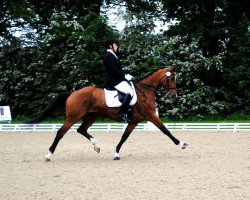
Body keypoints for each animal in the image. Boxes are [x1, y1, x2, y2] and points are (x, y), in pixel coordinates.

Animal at [26, 65, 188, 161]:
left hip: (91, 115)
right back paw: (48, 154)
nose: (174, 96)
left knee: (82, 129)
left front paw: (116, 153)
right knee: (61, 132)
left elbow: (124, 137)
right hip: (73, 116)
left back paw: (96, 146)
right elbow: (165, 130)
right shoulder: (151, 116)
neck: (145, 90)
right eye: (171, 78)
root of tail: (73, 93)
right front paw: (181, 144)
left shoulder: (134, 121)